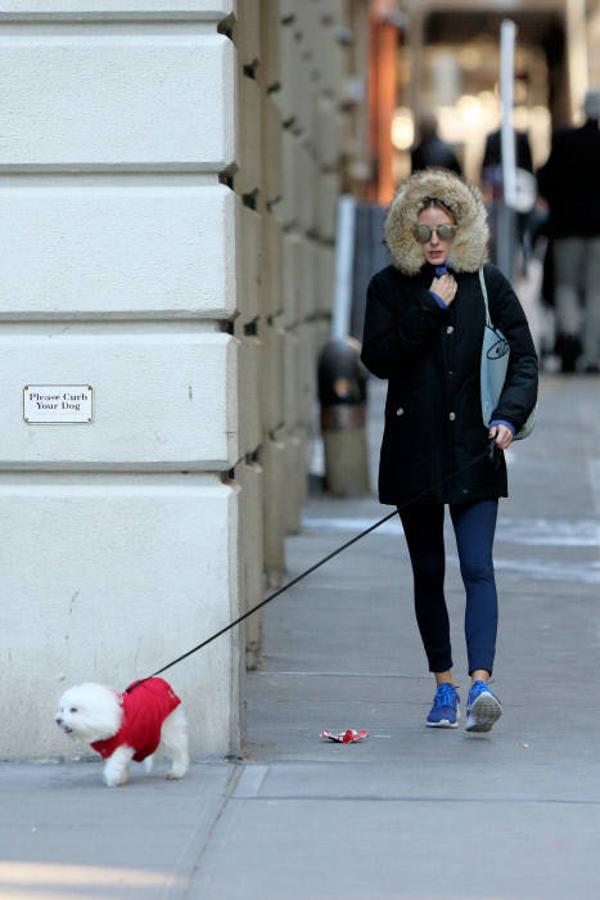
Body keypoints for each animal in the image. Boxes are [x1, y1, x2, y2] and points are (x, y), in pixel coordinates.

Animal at [55, 680, 190, 784]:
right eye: (61, 709)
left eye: (74, 710)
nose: (58, 720)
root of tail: (163, 684)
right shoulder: (109, 748)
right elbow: (117, 763)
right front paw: (121, 777)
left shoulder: (124, 744)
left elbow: (115, 762)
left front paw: (112, 778)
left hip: (169, 729)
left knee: (179, 751)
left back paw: (177, 772)